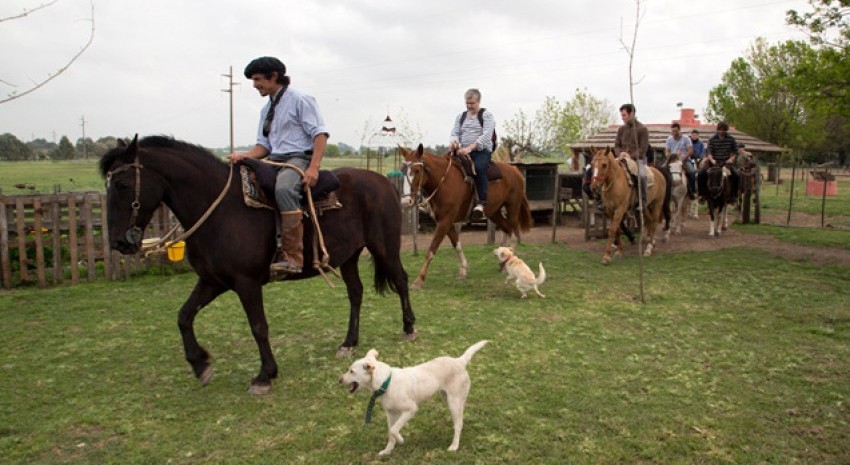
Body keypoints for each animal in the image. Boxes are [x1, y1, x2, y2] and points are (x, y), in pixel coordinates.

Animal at [99, 134, 414, 392]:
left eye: (122, 184)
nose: (118, 243)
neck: (222, 210)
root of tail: (385, 182)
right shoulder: (213, 281)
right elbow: (184, 316)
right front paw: (200, 364)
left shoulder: (246, 283)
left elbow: (258, 327)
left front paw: (265, 375)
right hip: (349, 256)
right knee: (356, 292)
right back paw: (348, 343)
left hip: (385, 247)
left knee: (400, 280)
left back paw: (409, 327)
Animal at [336, 338, 486, 454]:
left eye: (351, 371)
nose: (339, 380)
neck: (386, 382)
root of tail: (460, 361)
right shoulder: (390, 413)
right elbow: (390, 432)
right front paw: (388, 451)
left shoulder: (411, 409)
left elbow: (394, 430)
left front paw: (401, 439)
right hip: (448, 398)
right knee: (459, 419)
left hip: (454, 401)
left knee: (459, 423)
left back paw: (454, 446)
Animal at [400, 143, 528, 288]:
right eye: (402, 171)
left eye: (417, 170)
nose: (406, 202)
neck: (444, 182)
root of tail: (515, 170)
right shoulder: (446, 221)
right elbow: (457, 244)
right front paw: (463, 270)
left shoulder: (445, 221)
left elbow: (432, 249)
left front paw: (419, 280)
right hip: (494, 212)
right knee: (507, 229)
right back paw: (502, 263)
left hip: (513, 208)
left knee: (513, 233)